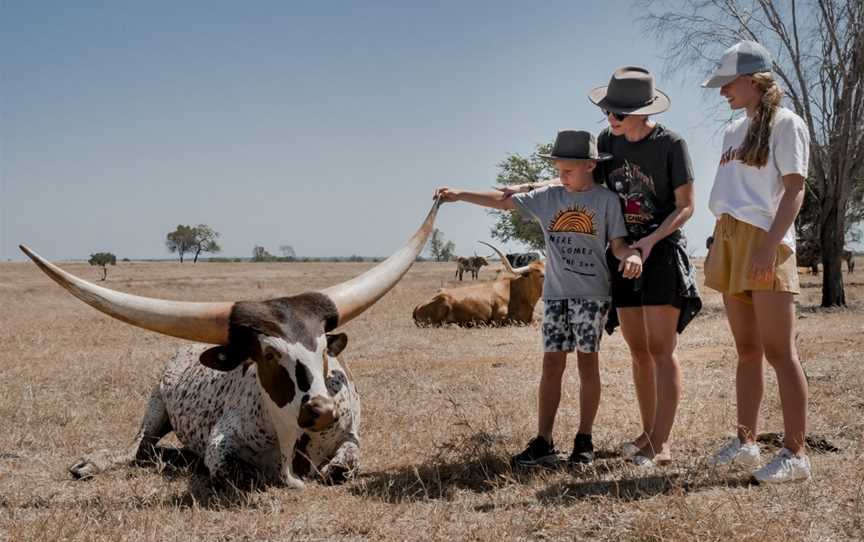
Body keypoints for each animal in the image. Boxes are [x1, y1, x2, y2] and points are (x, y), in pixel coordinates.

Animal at [23, 202, 442, 490]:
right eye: (269, 355)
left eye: (324, 351)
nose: (322, 410)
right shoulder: (221, 444)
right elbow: (231, 471)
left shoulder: (351, 436)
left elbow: (343, 466)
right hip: (155, 405)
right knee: (139, 447)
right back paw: (93, 463)